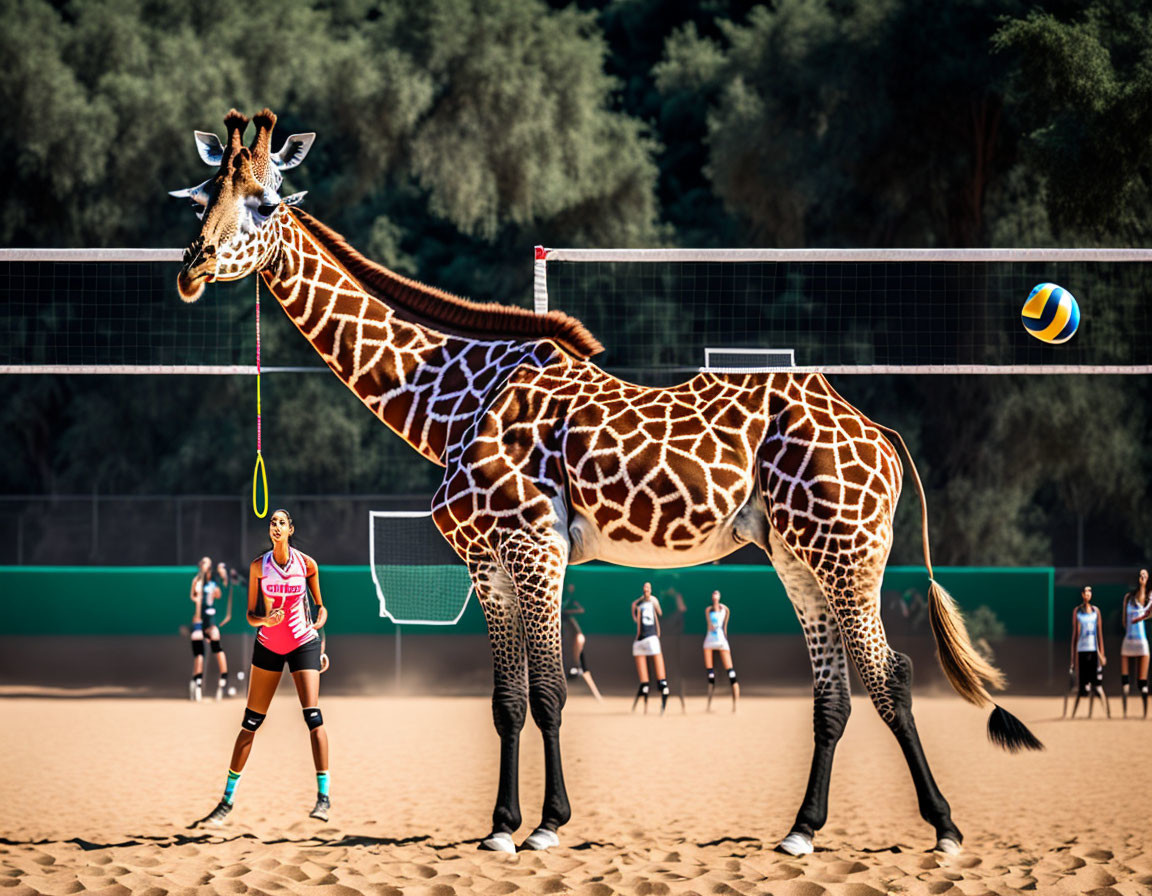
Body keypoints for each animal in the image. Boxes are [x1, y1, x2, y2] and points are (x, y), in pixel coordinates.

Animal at [172, 108, 1046, 856]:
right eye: (201, 200)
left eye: (262, 203)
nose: (192, 268)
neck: (448, 401)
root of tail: (883, 438)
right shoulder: (486, 561)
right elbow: (507, 700)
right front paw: (500, 826)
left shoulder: (535, 546)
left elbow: (551, 694)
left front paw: (546, 826)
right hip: (798, 556)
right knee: (832, 689)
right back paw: (801, 831)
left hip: (848, 552)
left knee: (889, 674)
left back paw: (944, 829)